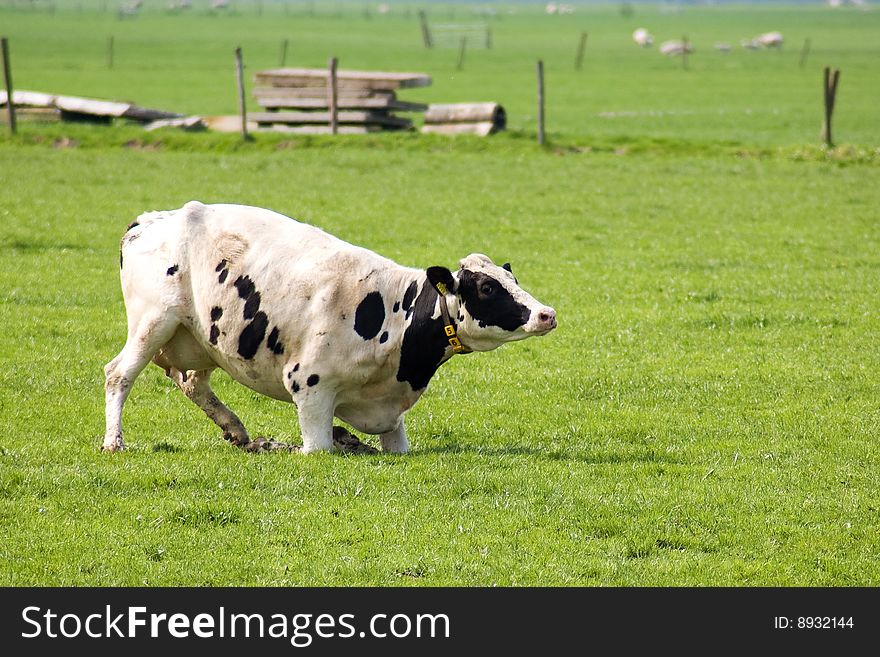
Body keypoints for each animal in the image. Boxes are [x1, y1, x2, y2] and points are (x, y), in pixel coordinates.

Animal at [103, 202, 556, 454]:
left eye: (511, 278)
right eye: (486, 287)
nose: (546, 313)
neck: (394, 315)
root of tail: (153, 219)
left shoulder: (390, 413)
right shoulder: (309, 387)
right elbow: (316, 448)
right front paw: (287, 445)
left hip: (202, 336)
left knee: (193, 382)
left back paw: (236, 430)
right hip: (153, 321)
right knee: (118, 374)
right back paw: (114, 442)